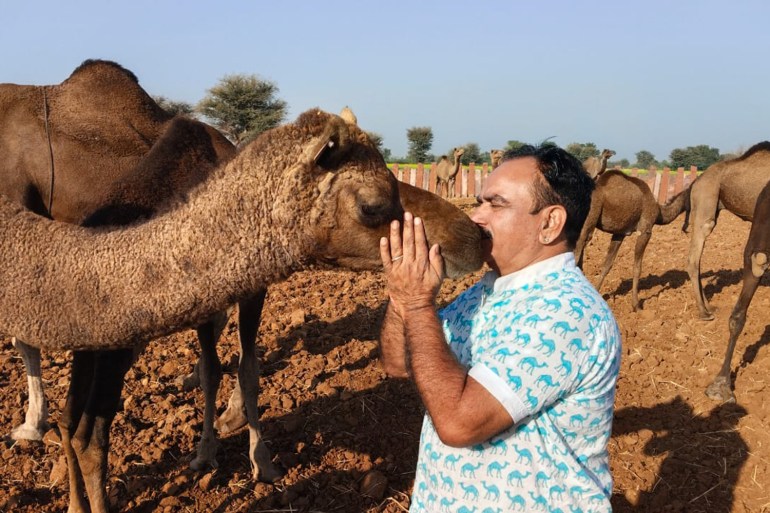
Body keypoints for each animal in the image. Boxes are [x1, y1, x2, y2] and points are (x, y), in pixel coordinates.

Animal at [0, 106, 480, 510]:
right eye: (373, 205)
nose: (476, 236)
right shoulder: (241, 292)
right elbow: (236, 369)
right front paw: (246, 458)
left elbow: (226, 369)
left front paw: (233, 450)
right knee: (86, 426)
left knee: (74, 423)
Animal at [572, 170, 688, 310]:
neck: (659, 212)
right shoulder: (645, 230)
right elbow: (637, 267)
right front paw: (636, 305)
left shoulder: (619, 233)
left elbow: (607, 264)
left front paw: (597, 292)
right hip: (589, 220)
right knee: (579, 247)